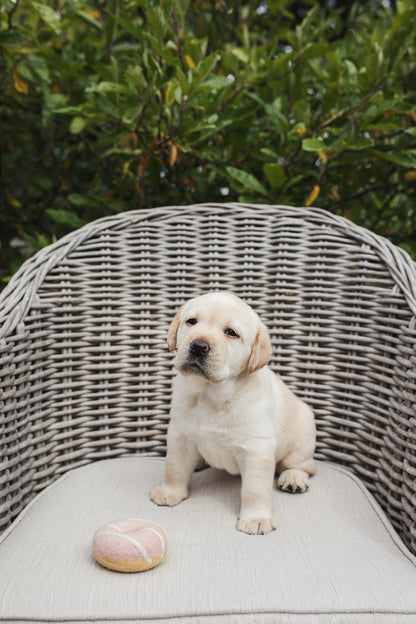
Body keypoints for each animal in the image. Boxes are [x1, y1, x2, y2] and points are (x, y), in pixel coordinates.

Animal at [151, 292, 316, 532]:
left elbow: (254, 489)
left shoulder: (257, 449)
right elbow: (174, 467)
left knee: (303, 465)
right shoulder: (180, 435)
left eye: (231, 333)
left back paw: (293, 478)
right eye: (191, 322)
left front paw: (256, 518)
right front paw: (169, 492)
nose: (198, 345)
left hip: (303, 433)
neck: (210, 395)